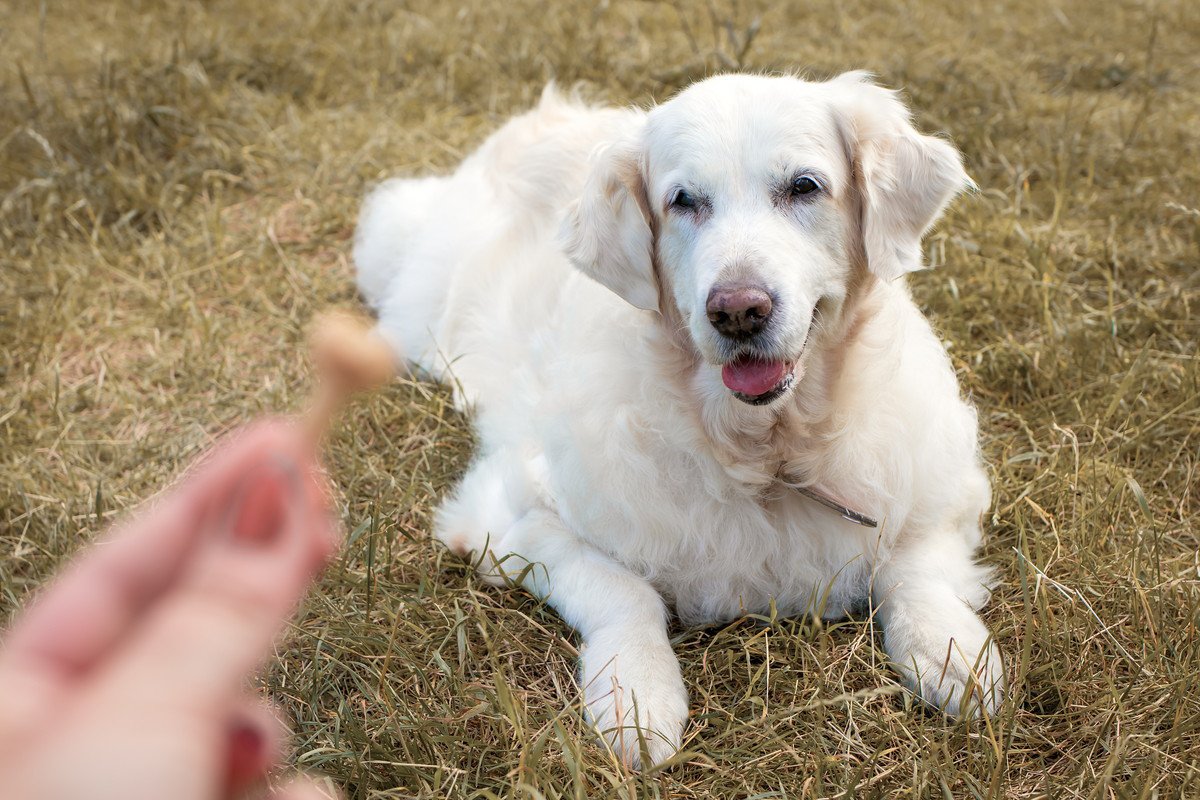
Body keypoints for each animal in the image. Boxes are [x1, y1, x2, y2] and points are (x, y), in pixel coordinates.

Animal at [352, 74, 1003, 767]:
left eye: (804, 186)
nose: (739, 311)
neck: (764, 452)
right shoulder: (508, 516)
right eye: (683, 200)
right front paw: (636, 692)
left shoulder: (942, 493)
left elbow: (914, 569)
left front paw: (952, 651)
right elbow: (625, 591)